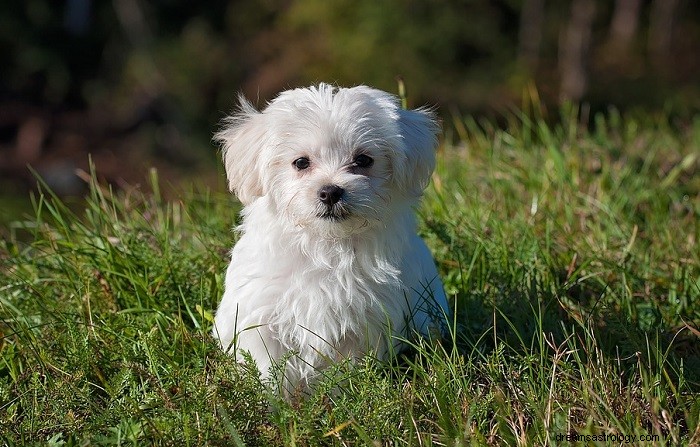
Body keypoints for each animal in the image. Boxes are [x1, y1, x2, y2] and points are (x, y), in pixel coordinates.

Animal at [212, 83, 448, 392]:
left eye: (363, 160)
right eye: (301, 162)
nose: (330, 191)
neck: (326, 245)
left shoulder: (364, 322)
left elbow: (346, 368)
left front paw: (341, 395)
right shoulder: (261, 316)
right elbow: (269, 366)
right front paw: (274, 400)